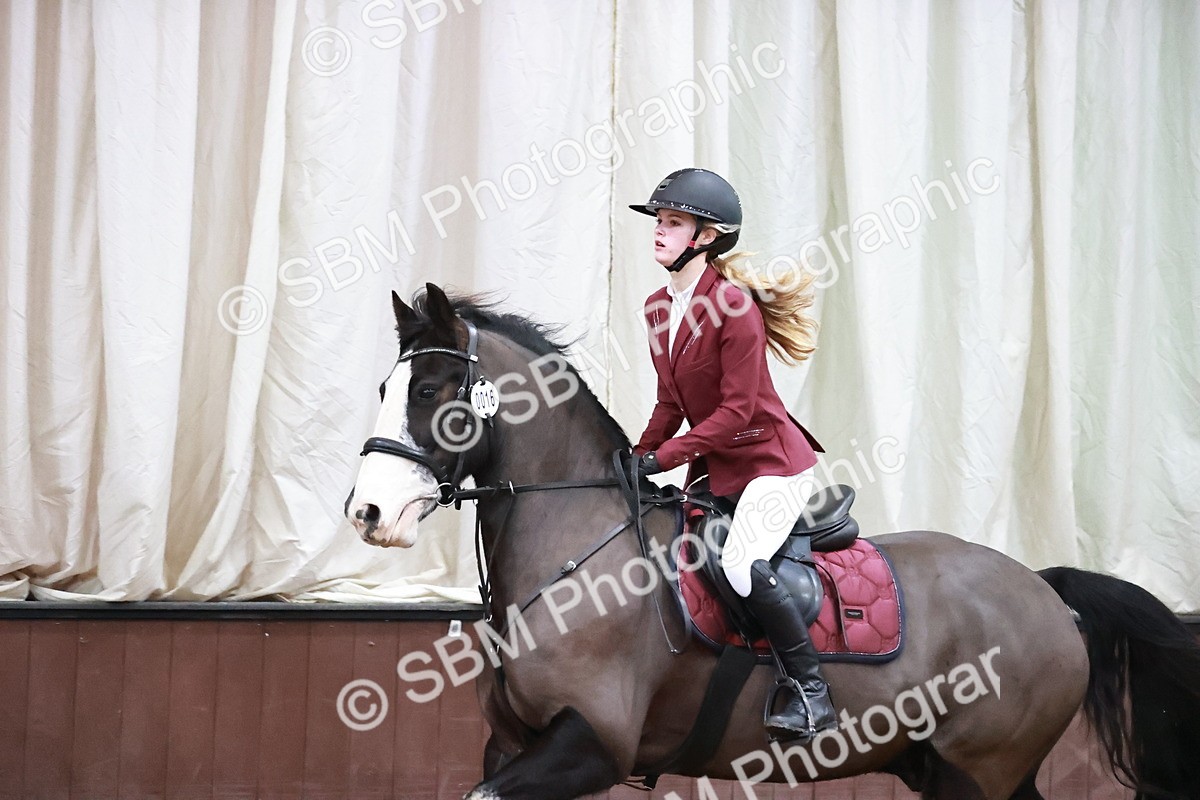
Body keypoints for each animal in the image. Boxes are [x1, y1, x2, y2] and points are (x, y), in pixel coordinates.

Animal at [345, 283, 1200, 800]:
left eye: (430, 391)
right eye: (384, 388)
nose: (367, 513)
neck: (574, 552)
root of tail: (1044, 589)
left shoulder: (592, 744)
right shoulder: (513, 743)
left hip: (979, 769)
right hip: (952, 766)